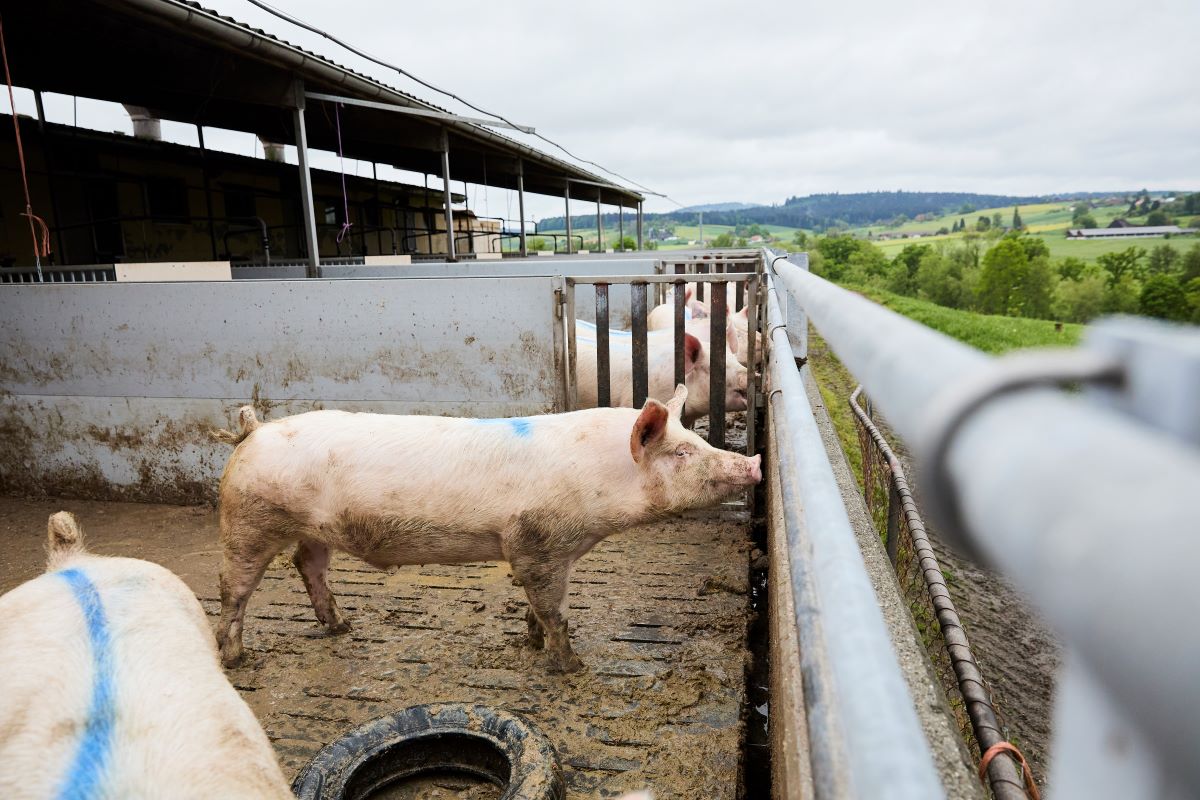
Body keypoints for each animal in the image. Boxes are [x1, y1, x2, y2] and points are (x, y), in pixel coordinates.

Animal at [212, 386, 761, 674]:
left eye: (695, 440)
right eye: (683, 452)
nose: (753, 462)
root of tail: (253, 431)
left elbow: (537, 606)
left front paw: (532, 642)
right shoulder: (536, 541)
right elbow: (554, 608)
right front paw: (570, 666)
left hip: (315, 530)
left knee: (307, 563)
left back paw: (341, 626)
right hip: (247, 522)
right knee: (233, 588)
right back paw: (237, 658)